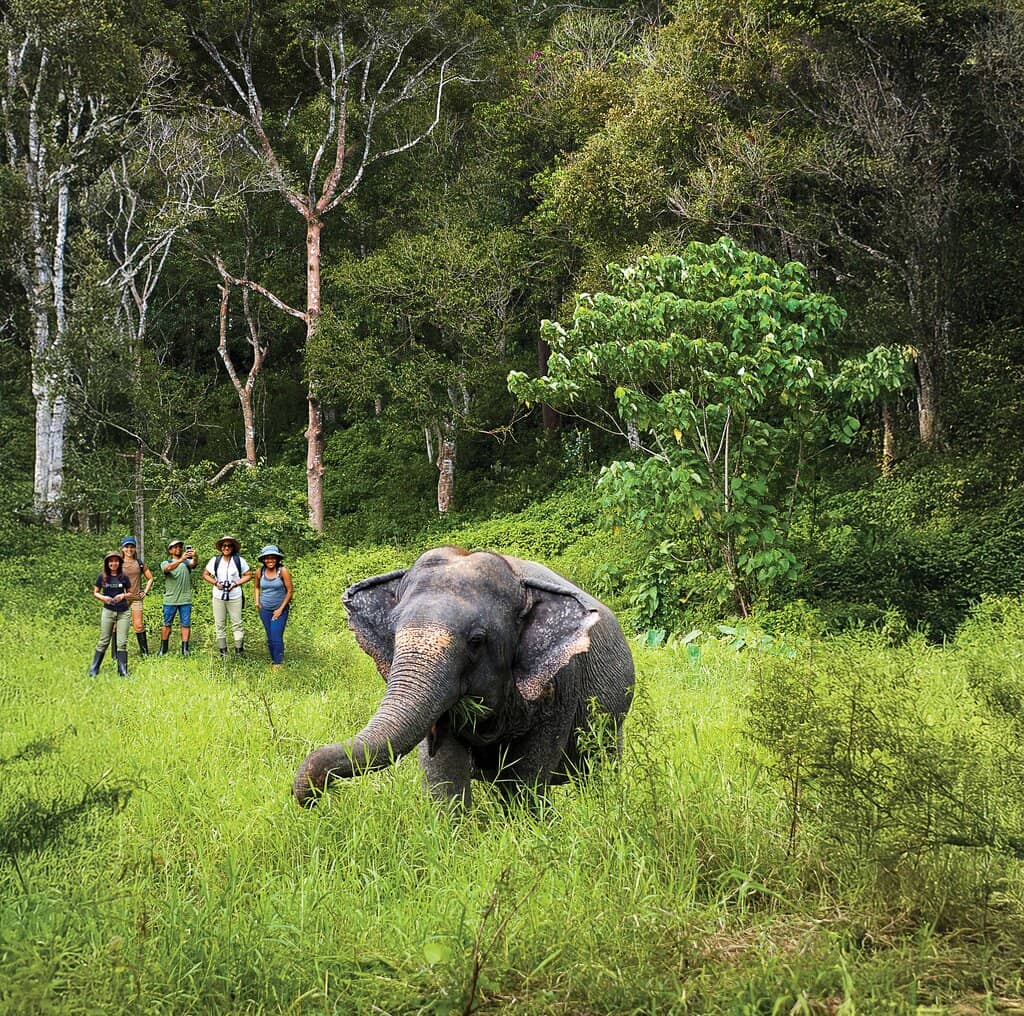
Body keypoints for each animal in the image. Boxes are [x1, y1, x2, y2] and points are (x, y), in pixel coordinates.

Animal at [293, 546, 634, 808]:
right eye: (392, 633)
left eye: (476, 640)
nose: (315, 795)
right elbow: (443, 771)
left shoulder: (562, 682)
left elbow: (525, 776)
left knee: (599, 768)